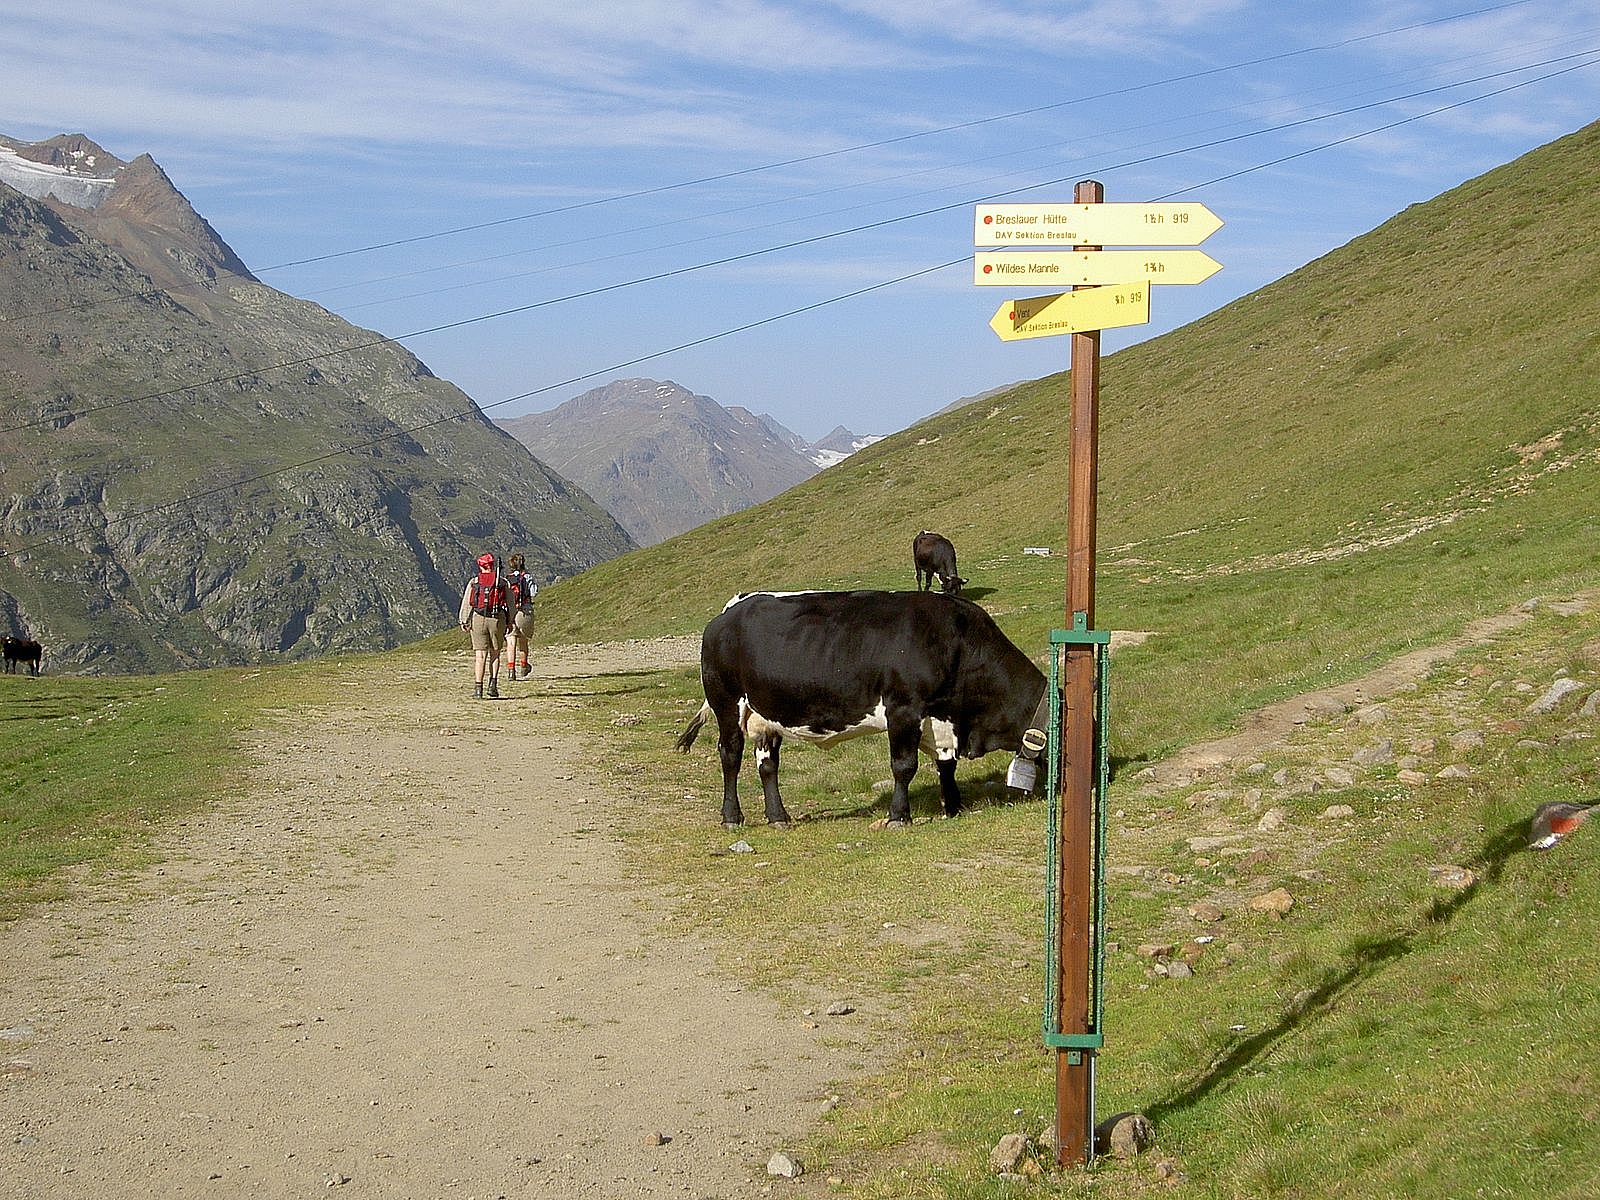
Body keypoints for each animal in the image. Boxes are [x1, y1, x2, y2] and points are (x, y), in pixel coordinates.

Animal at [675, 592, 1049, 825]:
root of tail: (729, 613)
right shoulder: (903, 709)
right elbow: (904, 766)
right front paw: (900, 816)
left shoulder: (940, 720)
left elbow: (946, 765)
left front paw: (954, 806)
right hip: (727, 702)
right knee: (730, 755)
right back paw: (732, 818)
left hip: (767, 713)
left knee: (767, 764)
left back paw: (779, 817)